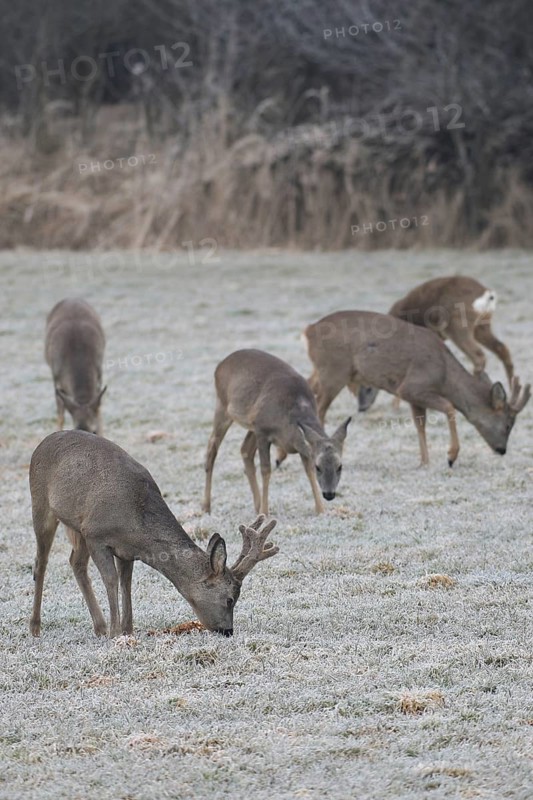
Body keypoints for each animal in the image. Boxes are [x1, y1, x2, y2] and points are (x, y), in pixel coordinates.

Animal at [29, 430, 279, 638]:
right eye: (229, 599)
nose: (227, 631)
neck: (136, 525)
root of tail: (42, 443)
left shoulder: (125, 551)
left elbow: (126, 583)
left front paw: (127, 630)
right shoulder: (95, 534)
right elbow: (111, 579)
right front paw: (115, 632)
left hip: (76, 526)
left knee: (75, 562)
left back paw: (98, 627)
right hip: (41, 504)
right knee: (41, 562)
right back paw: (35, 627)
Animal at [45, 298, 107, 434]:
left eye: (94, 431)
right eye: (75, 428)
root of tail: (71, 299)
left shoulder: (99, 375)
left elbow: (99, 411)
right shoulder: (56, 379)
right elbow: (60, 415)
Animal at [202, 349, 351, 516]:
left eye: (340, 466)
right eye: (318, 466)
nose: (329, 494)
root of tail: (220, 366)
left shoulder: (298, 442)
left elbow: (307, 471)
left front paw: (320, 510)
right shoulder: (262, 430)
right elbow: (266, 470)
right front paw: (265, 512)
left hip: (251, 425)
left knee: (245, 450)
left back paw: (257, 506)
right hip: (223, 407)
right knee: (212, 449)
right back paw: (206, 506)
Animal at [302, 310, 530, 467]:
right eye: (508, 424)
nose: (502, 450)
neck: (444, 375)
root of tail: (309, 331)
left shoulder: (412, 397)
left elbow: (420, 424)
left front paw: (424, 461)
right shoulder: (412, 387)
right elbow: (449, 407)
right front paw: (451, 456)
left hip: (323, 371)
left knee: (308, 386)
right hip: (334, 371)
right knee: (320, 408)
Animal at [358, 276, 515, 412]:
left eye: (368, 386)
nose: (362, 408)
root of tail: (487, 295)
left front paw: (396, 405)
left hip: (458, 325)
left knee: (478, 355)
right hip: (481, 326)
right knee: (502, 348)